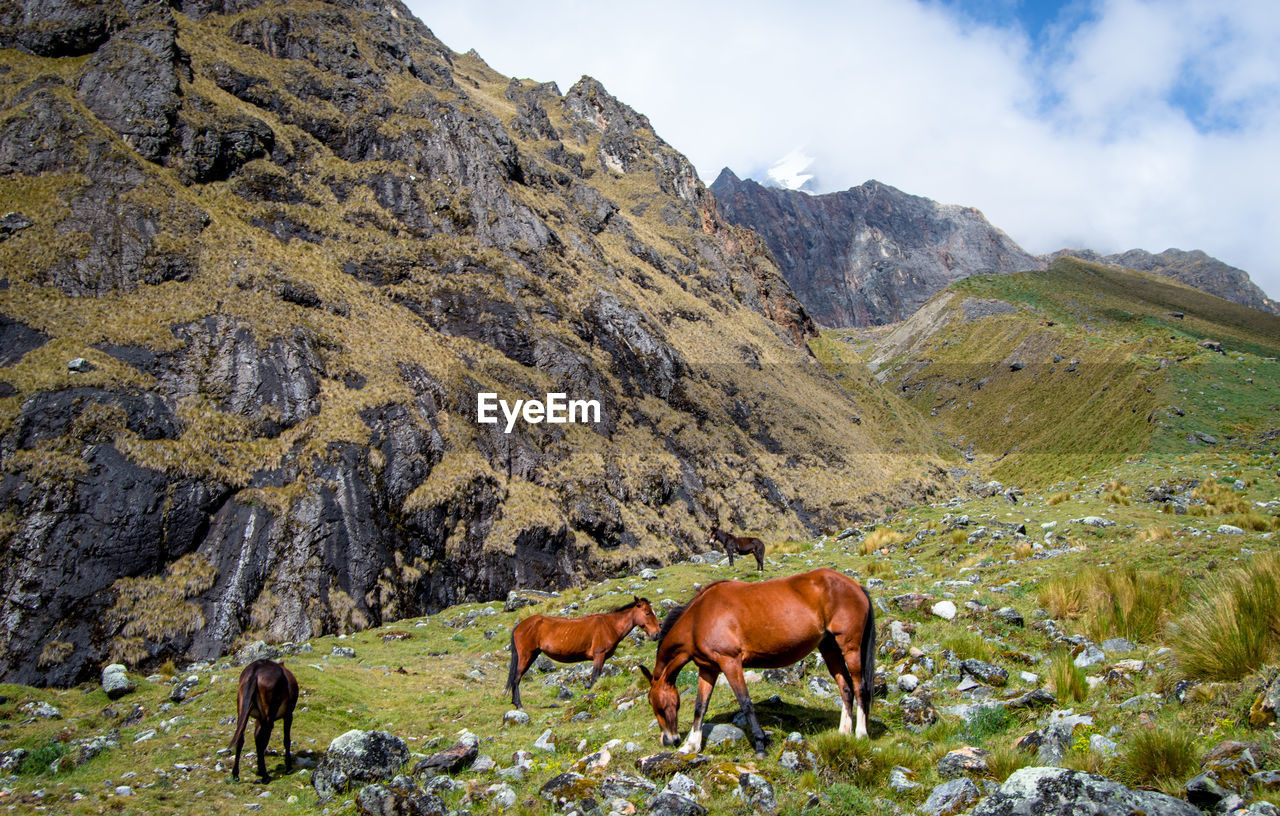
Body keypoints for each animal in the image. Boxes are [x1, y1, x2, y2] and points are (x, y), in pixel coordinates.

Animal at [229, 659, 298, 787]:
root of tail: (255, 671)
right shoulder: (288, 714)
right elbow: (286, 740)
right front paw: (288, 767)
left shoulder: (258, 719)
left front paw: (258, 769)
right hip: (269, 713)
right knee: (263, 739)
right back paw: (265, 776)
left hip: (243, 710)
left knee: (241, 738)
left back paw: (236, 774)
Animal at [504, 598, 660, 711]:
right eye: (647, 613)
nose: (657, 634)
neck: (610, 625)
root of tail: (519, 626)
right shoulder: (599, 655)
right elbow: (595, 677)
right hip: (526, 656)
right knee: (516, 678)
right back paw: (519, 704)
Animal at [637, 567, 875, 762]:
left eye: (653, 702)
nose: (669, 740)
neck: (698, 618)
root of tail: (856, 586)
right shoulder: (708, 668)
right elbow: (700, 706)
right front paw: (690, 746)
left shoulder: (730, 662)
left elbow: (746, 703)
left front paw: (760, 745)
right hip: (829, 647)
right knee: (845, 688)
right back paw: (844, 732)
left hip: (850, 647)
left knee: (859, 686)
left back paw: (861, 733)